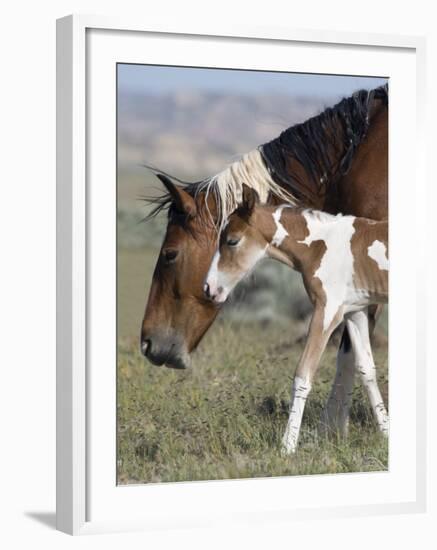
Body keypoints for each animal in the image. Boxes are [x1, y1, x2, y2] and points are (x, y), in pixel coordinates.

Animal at [203, 188, 386, 454]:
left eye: (232, 241)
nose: (209, 288)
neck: (322, 246)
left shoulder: (326, 311)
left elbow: (303, 374)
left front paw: (287, 447)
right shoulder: (356, 311)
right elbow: (366, 369)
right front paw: (387, 434)